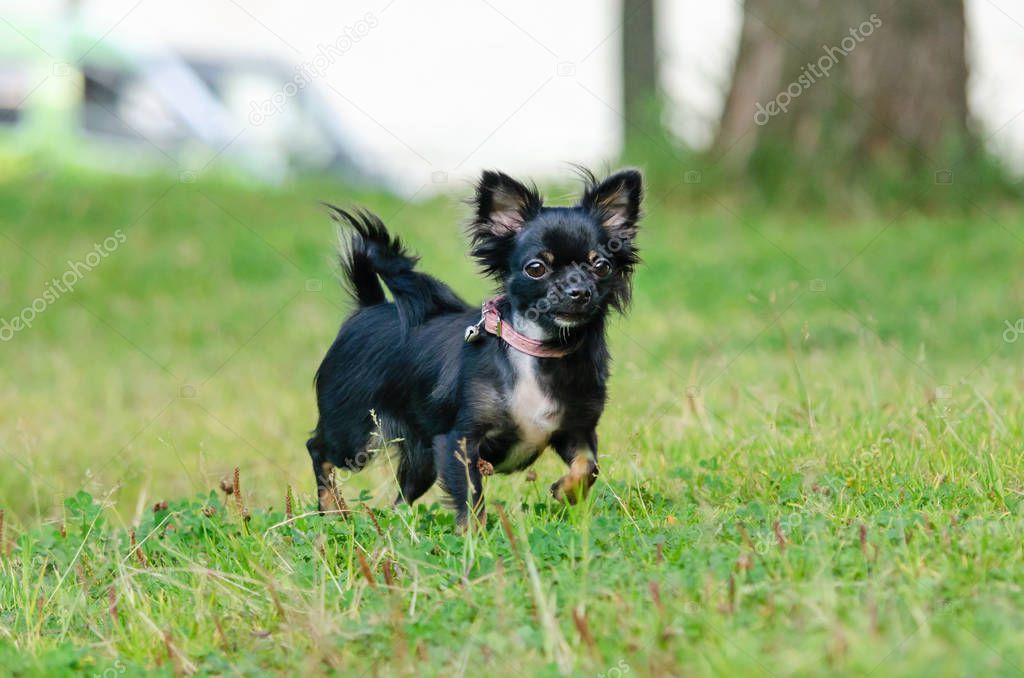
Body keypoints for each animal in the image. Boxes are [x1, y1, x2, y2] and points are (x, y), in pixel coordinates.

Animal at [307, 170, 638, 532]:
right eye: (536, 268)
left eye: (601, 266)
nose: (579, 291)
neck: (538, 350)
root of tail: (369, 308)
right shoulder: (460, 440)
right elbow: (470, 496)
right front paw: (474, 539)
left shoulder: (576, 430)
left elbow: (588, 466)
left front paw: (565, 491)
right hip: (354, 436)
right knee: (319, 450)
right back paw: (334, 511)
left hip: (422, 458)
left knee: (401, 496)